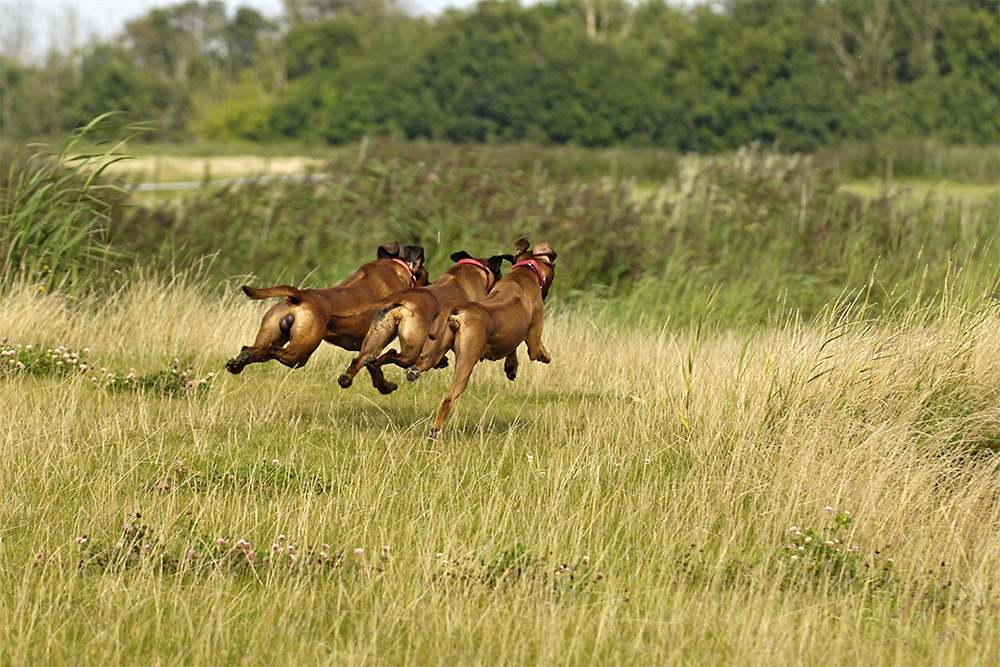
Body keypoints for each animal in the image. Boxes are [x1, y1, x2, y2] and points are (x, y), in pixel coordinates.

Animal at [225, 244, 428, 376]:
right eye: (426, 278)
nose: (430, 286)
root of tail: (300, 296)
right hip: (300, 353)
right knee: (273, 350)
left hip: (272, 331)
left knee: (251, 348)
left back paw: (238, 361)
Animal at [336, 250, 516, 396]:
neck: (472, 270)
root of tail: (402, 298)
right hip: (411, 350)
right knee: (391, 355)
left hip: (376, 338)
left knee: (362, 360)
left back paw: (356, 379)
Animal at [408, 237, 564, 440]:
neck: (524, 273)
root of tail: (461, 309)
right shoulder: (534, 338)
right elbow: (536, 349)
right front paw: (546, 356)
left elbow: (512, 348)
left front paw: (511, 366)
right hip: (466, 363)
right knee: (448, 398)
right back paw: (435, 430)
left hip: (433, 351)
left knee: (420, 364)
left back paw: (413, 371)